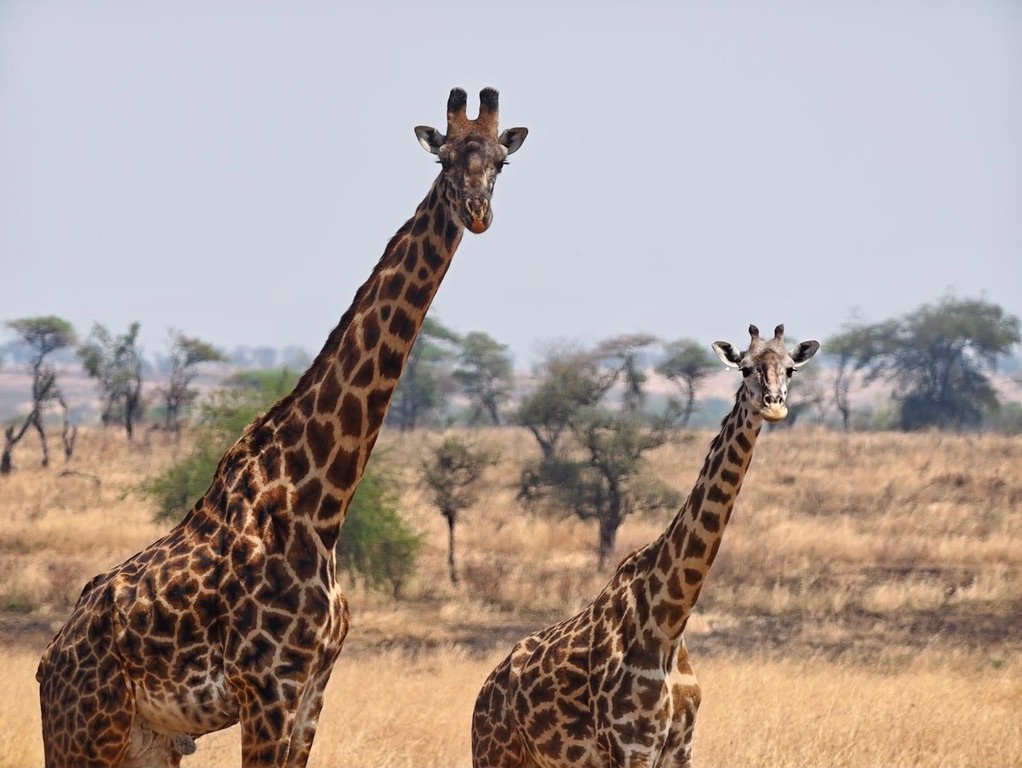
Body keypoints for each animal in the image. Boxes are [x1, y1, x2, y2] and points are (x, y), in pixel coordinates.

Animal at [36, 87, 528, 768]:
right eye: (445, 159)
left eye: (501, 162)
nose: (477, 213)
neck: (318, 504)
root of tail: (47, 661)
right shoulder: (267, 686)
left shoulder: (312, 688)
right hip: (86, 734)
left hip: (147, 742)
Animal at [472, 324, 819, 768]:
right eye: (744, 368)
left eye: (790, 369)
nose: (773, 407)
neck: (668, 623)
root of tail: (484, 692)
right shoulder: (631, 747)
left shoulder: (680, 748)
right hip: (494, 754)